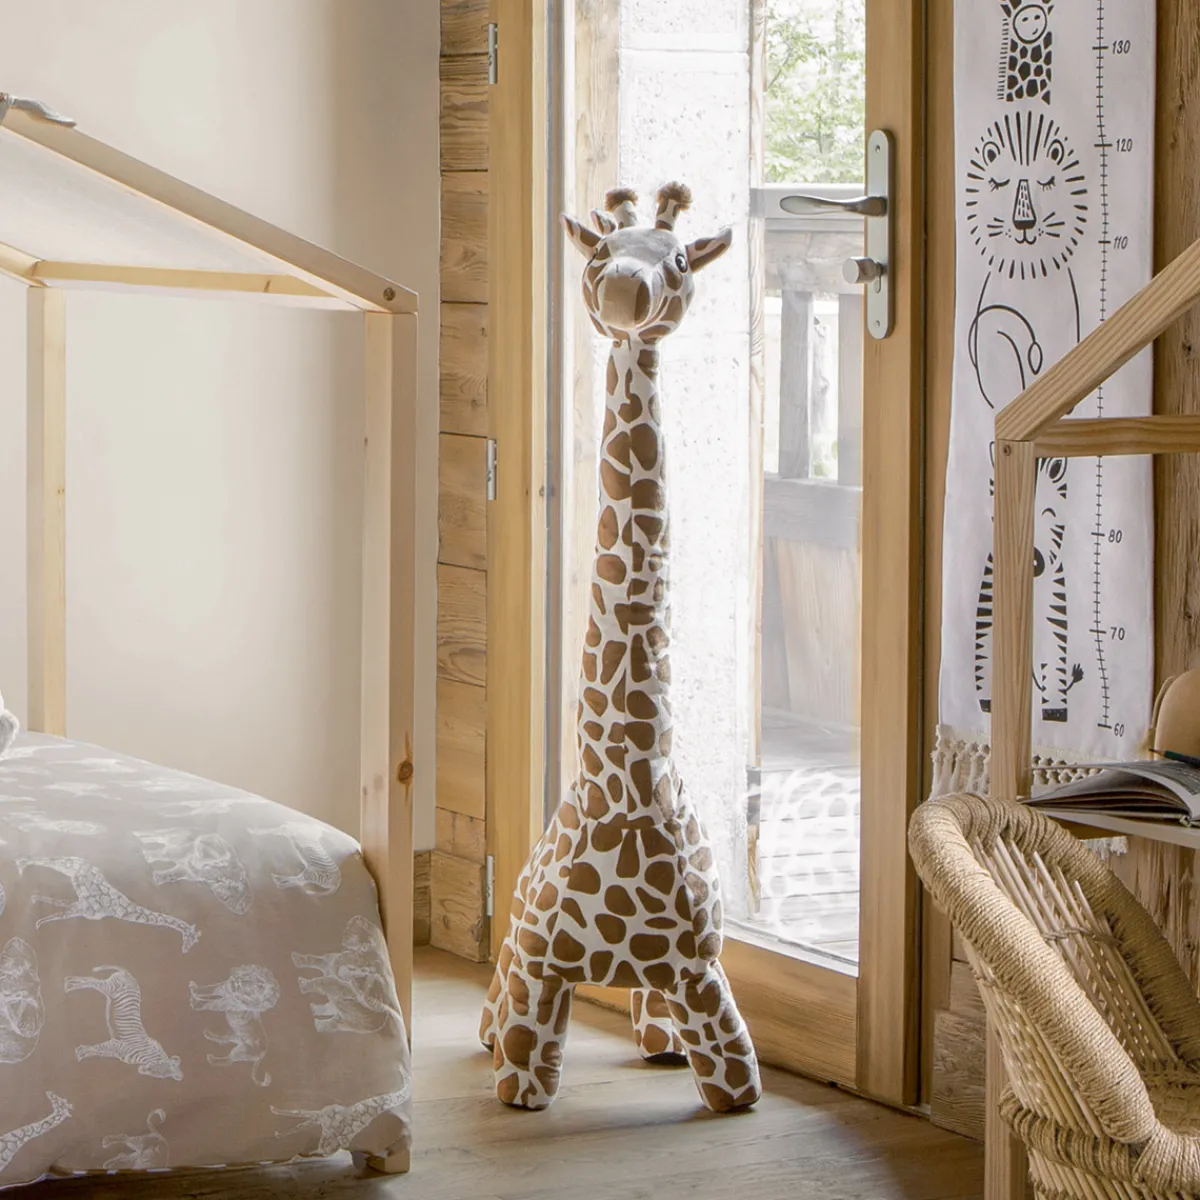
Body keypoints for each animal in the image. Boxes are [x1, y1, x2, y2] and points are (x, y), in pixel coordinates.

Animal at [480, 183, 762, 1114]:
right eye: (600, 254)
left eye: (677, 259)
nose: (625, 293)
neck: (628, 794)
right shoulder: (540, 967)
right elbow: (522, 1072)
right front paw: (515, 1085)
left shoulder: (704, 973)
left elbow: (741, 1083)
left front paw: (707, 1079)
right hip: (516, 933)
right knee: (497, 990)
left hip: (658, 974)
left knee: (649, 1001)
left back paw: (658, 1043)